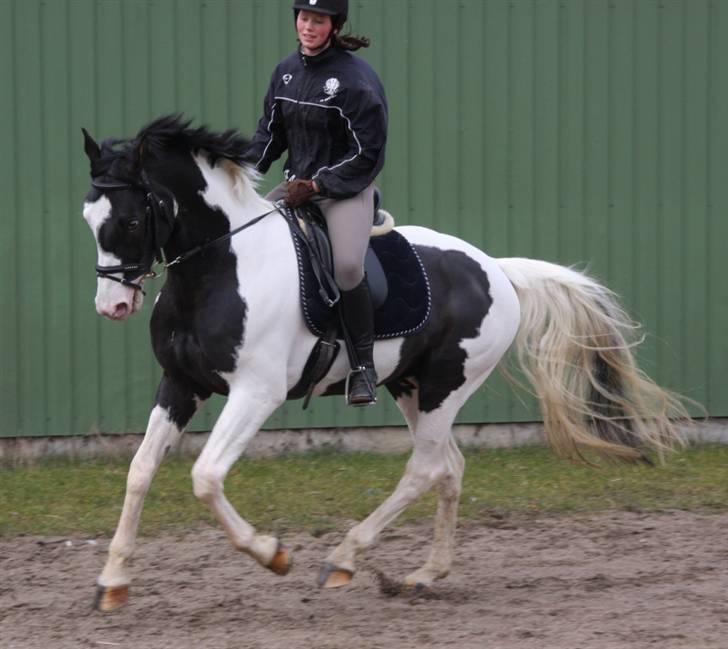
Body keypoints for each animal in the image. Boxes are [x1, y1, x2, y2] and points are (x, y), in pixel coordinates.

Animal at [82, 115, 684, 608]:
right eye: (90, 216)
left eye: (131, 220)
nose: (112, 306)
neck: (220, 269)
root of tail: (497, 269)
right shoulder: (180, 384)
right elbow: (140, 470)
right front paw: (113, 582)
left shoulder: (256, 392)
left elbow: (206, 476)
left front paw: (273, 553)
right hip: (410, 386)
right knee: (449, 467)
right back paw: (424, 575)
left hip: (445, 386)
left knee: (425, 469)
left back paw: (344, 559)